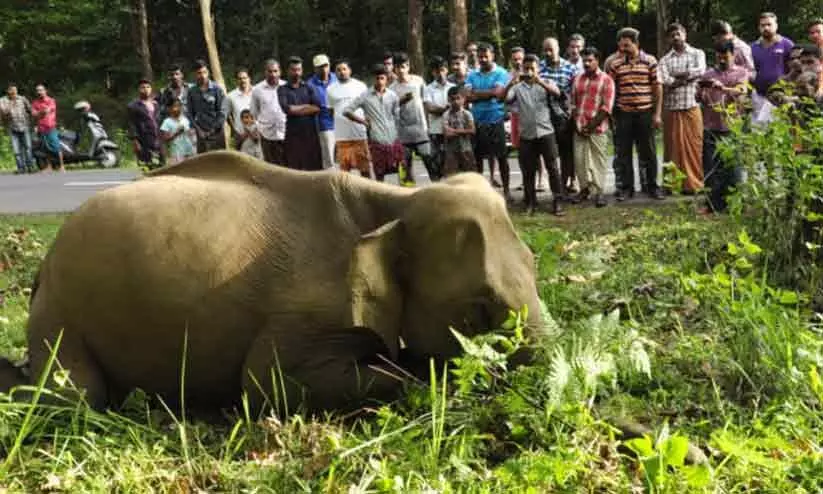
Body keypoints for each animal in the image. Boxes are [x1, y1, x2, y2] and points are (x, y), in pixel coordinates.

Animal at [1, 151, 552, 416]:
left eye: (534, 262)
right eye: (479, 312)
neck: (393, 201)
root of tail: (42, 267)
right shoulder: (303, 313)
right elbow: (265, 383)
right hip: (62, 313)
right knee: (79, 397)